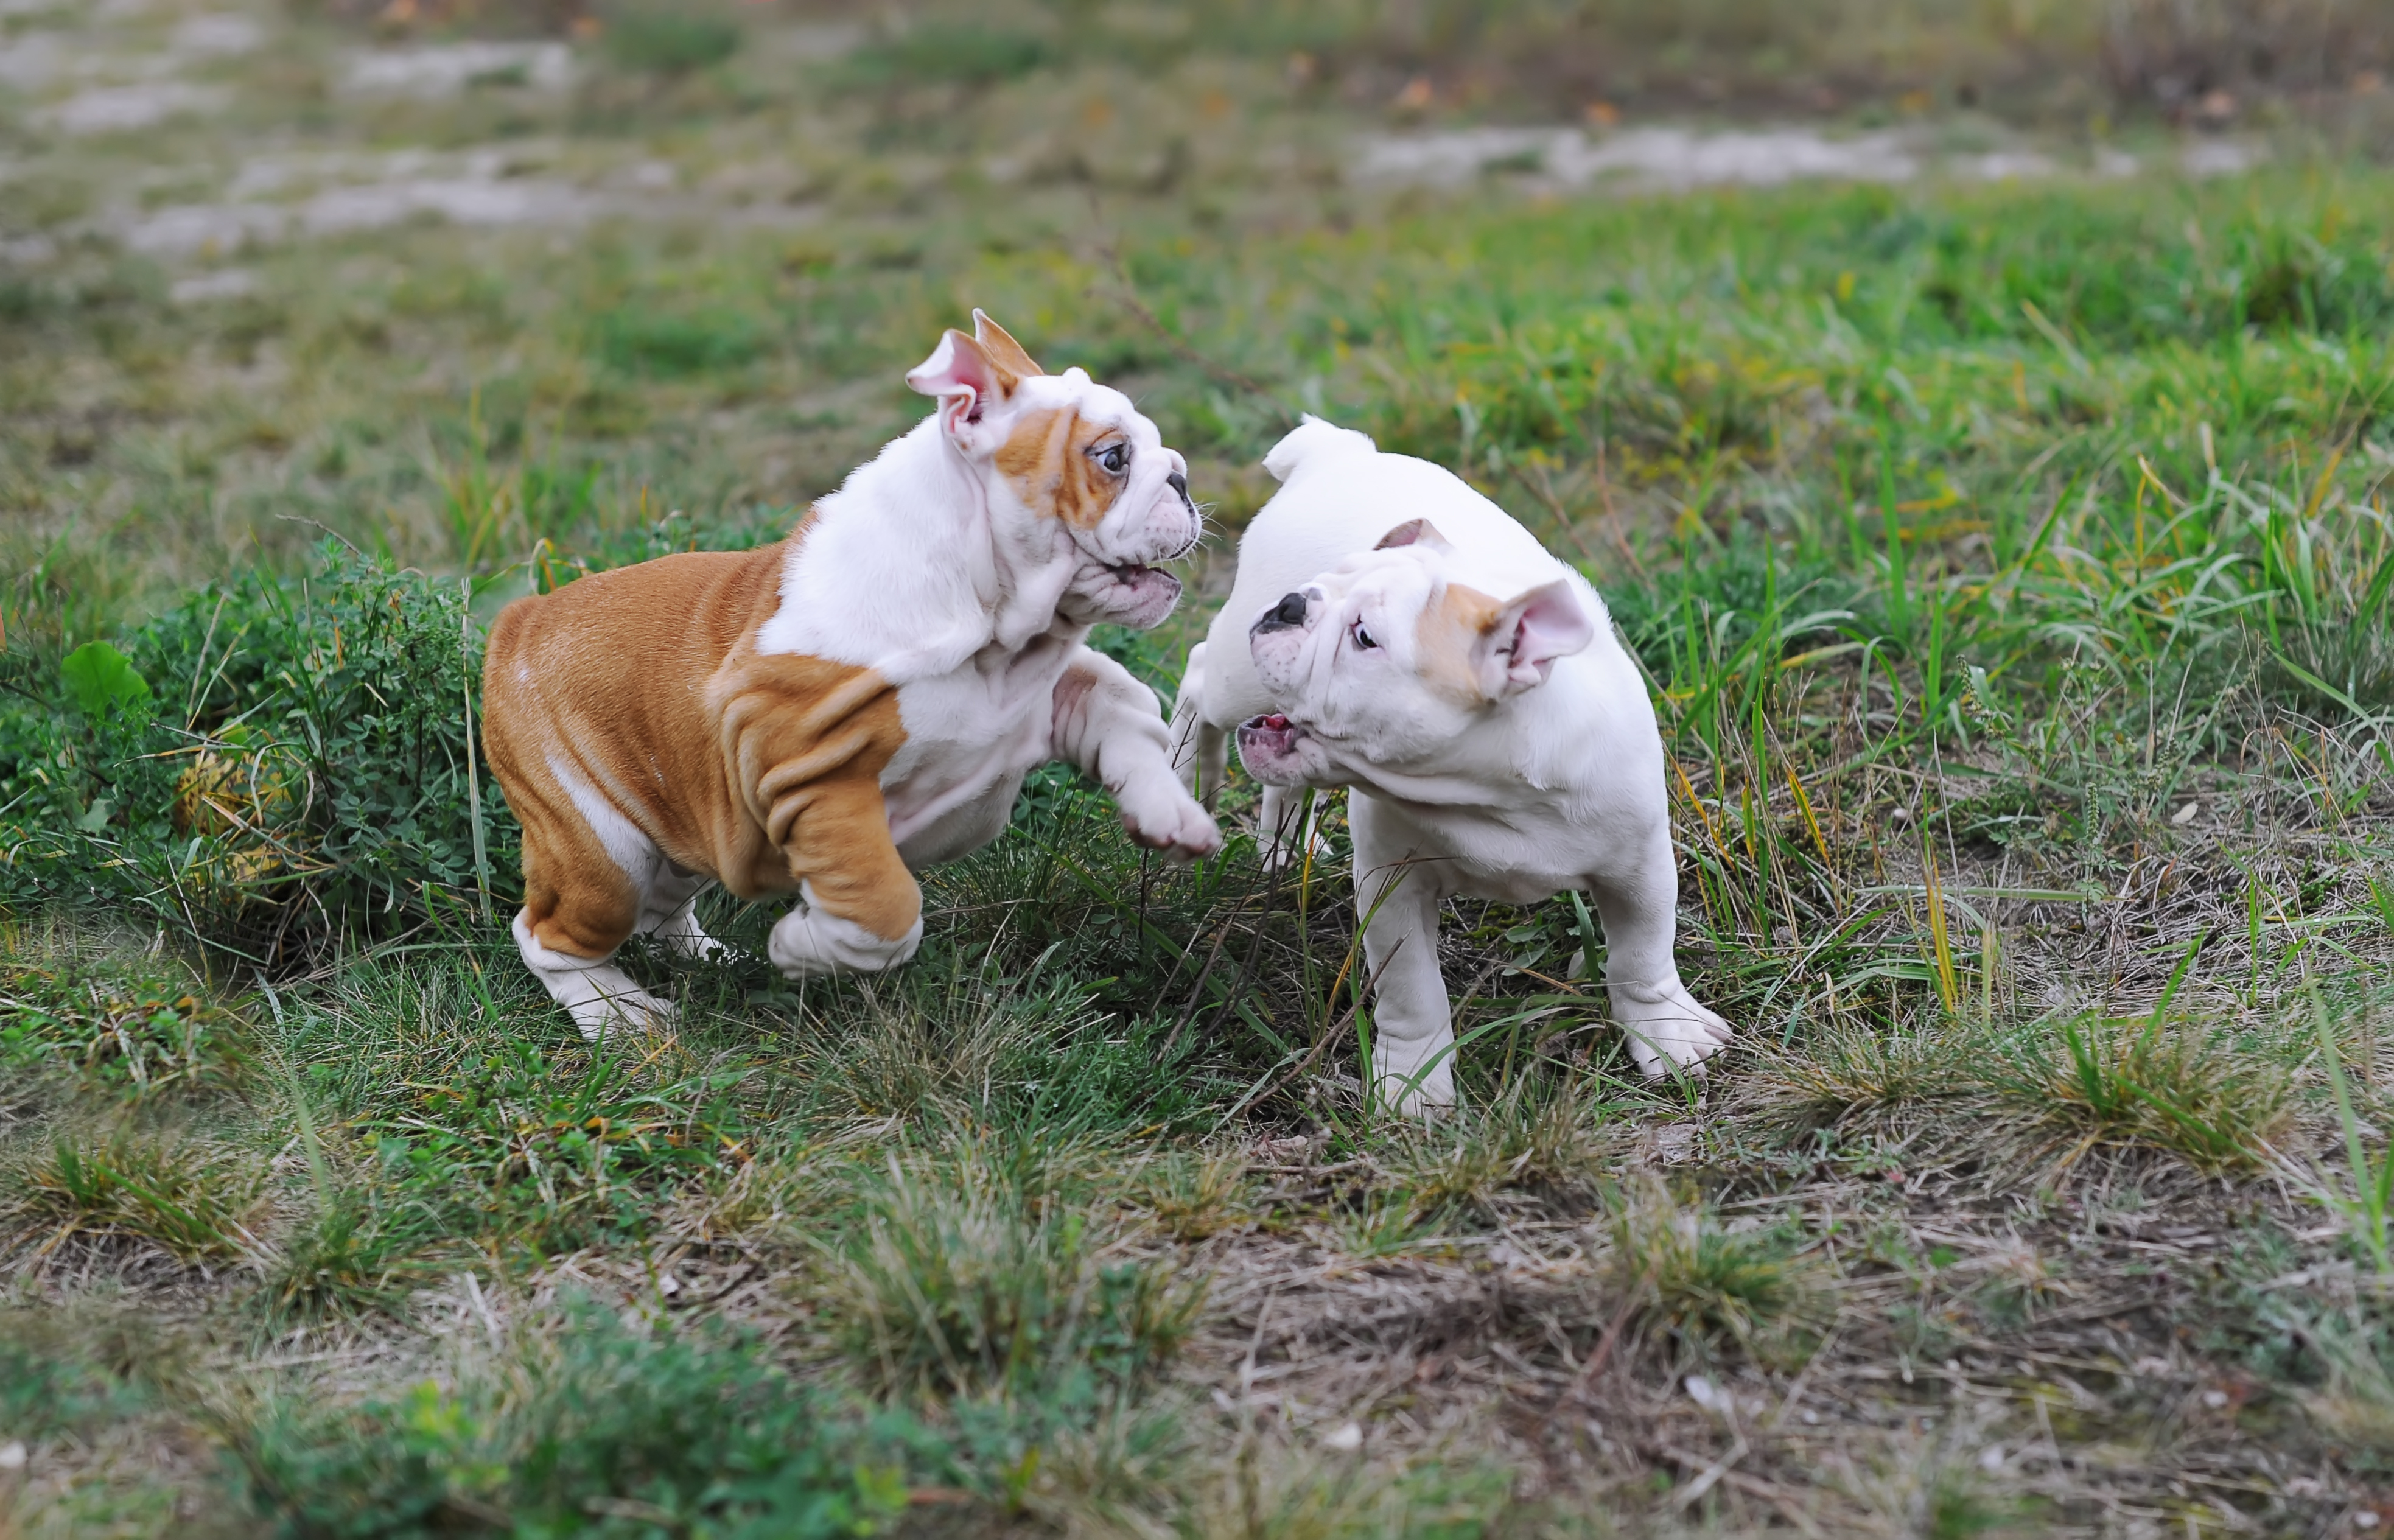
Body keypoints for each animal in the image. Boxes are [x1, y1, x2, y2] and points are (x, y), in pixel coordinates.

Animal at [1168, 416, 1733, 1116]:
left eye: (1365, 637)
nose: (1291, 603)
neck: (1490, 789)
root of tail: (1338, 451)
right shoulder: (1393, 886)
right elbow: (1412, 990)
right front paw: (1414, 1081)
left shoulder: (1638, 865)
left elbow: (1643, 955)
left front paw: (1665, 1033)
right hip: (1237, 679)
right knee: (1199, 678)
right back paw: (1183, 780)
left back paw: (1282, 847)